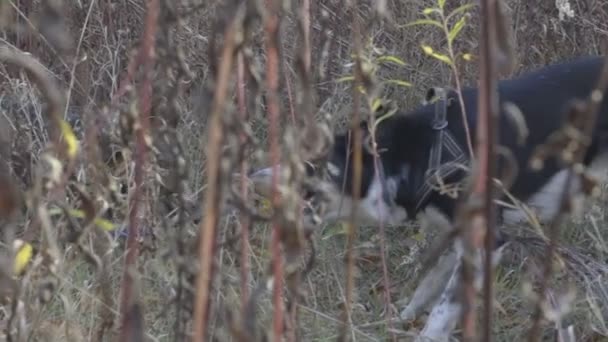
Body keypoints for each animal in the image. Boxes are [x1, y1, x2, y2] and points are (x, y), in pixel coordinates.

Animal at [248, 54, 608, 340]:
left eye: (310, 163)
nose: (253, 178)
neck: (415, 156)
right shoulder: (458, 236)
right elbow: (431, 285)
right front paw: (401, 318)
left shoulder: (485, 239)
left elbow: (441, 311)